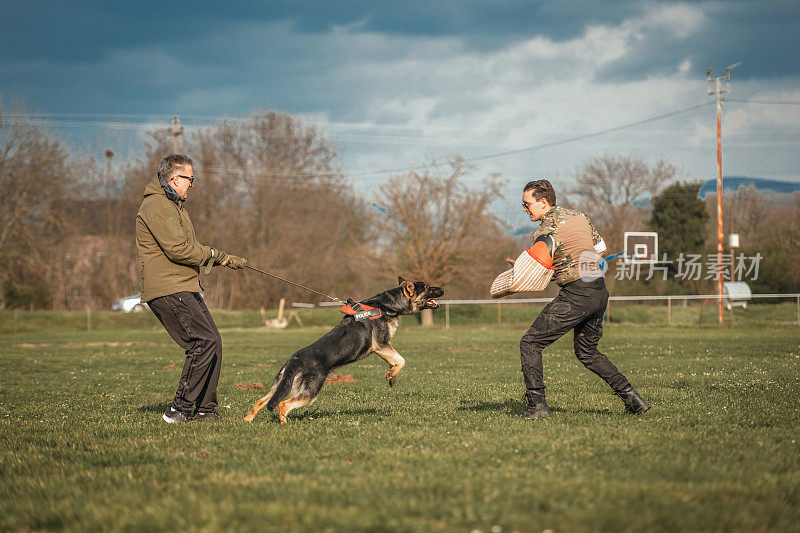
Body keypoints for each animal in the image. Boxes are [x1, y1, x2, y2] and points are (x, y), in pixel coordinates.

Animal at [244, 276, 444, 422]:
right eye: (426, 287)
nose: (443, 289)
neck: (387, 305)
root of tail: (294, 359)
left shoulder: (382, 347)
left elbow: (395, 362)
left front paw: (391, 377)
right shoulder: (381, 344)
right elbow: (402, 360)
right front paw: (391, 374)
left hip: (280, 385)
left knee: (261, 401)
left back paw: (247, 420)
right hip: (309, 392)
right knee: (283, 405)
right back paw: (284, 424)